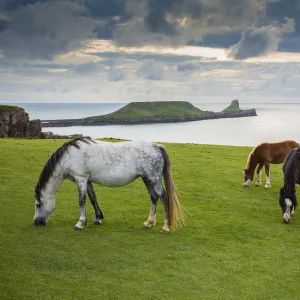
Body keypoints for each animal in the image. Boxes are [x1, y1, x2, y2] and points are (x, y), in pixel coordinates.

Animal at [34, 137, 185, 232]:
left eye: (38, 204)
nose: (36, 222)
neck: (70, 156)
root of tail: (156, 146)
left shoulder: (81, 179)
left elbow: (82, 201)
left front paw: (80, 223)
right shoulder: (88, 180)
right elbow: (93, 198)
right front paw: (98, 218)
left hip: (153, 179)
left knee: (163, 197)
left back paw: (165, 227)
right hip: (147, 179)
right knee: (154, 197)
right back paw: (149, 222)